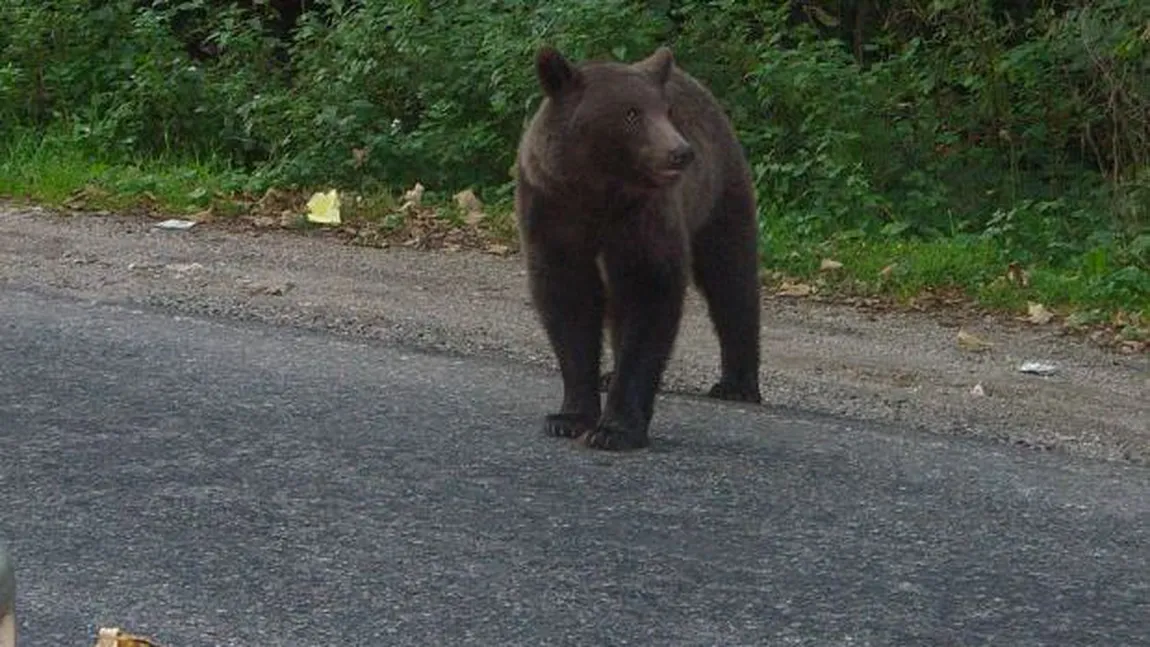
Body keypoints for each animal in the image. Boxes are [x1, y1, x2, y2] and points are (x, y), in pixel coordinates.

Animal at [517, 44, 759, 450]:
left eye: (667, 111)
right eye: (631, 113)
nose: (681, 152)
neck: (598, 191)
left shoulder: (644, 217)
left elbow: (648, 293)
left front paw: (615, 429)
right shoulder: (552, 209)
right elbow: (567, 300)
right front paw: (568, 417)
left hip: (719, 195)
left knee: (731, 278)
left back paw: (737, 384)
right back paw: (607, 374)